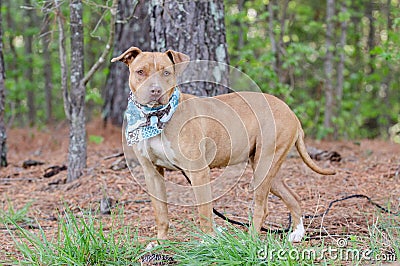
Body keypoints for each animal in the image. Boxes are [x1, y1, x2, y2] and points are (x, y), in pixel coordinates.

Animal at [111, 46, 334, 242]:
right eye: (140, 72)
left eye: (166, 72)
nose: (155, 90)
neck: (156, 118)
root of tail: (291, 112)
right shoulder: (152, 172)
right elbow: (161, 213)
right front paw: (160, 243)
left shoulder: (198, 172)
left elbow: (204, 212)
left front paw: (208, 242)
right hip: (267, 168)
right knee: (292, 197)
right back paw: (297, 234)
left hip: (264, 165)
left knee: (262, 208)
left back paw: (250, 241)